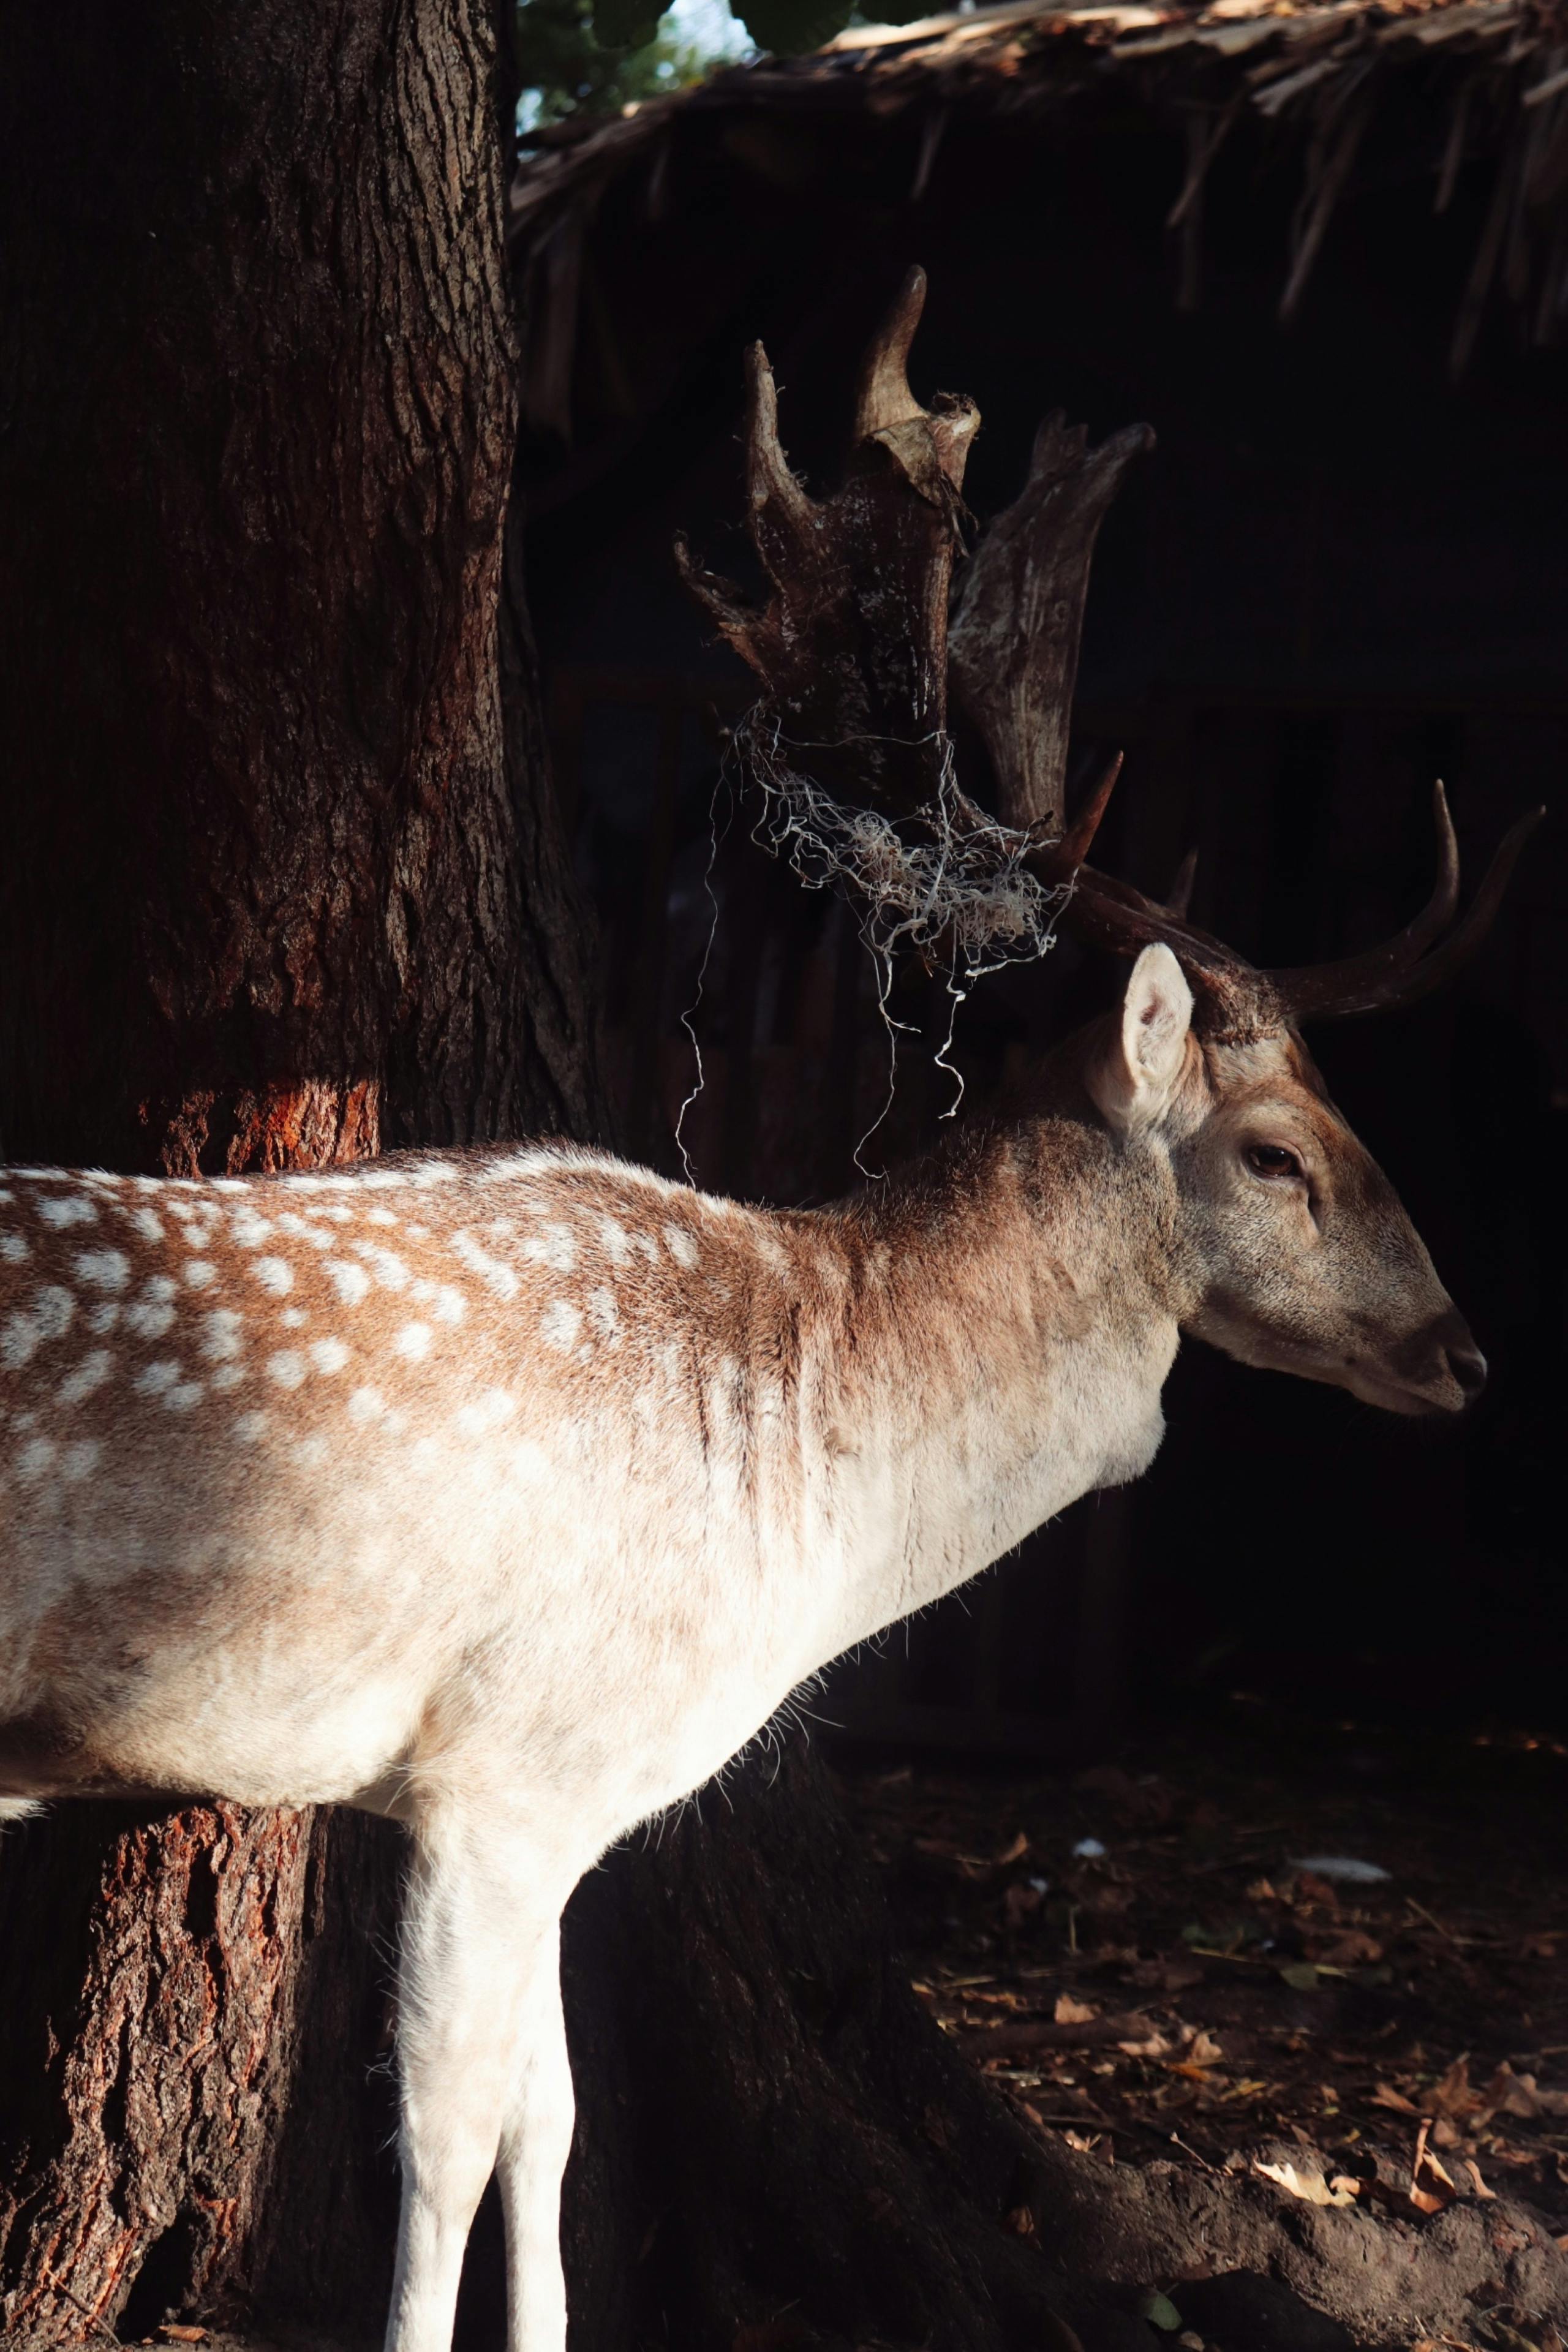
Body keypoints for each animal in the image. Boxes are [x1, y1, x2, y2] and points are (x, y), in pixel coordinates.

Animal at [0, 279, 1542, 2352]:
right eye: (1281, 1152)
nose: (1463, 1352)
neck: (805, 1480)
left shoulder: (563, 1794)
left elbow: (554, 2125)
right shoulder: (499, 1758)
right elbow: (444, 2135)